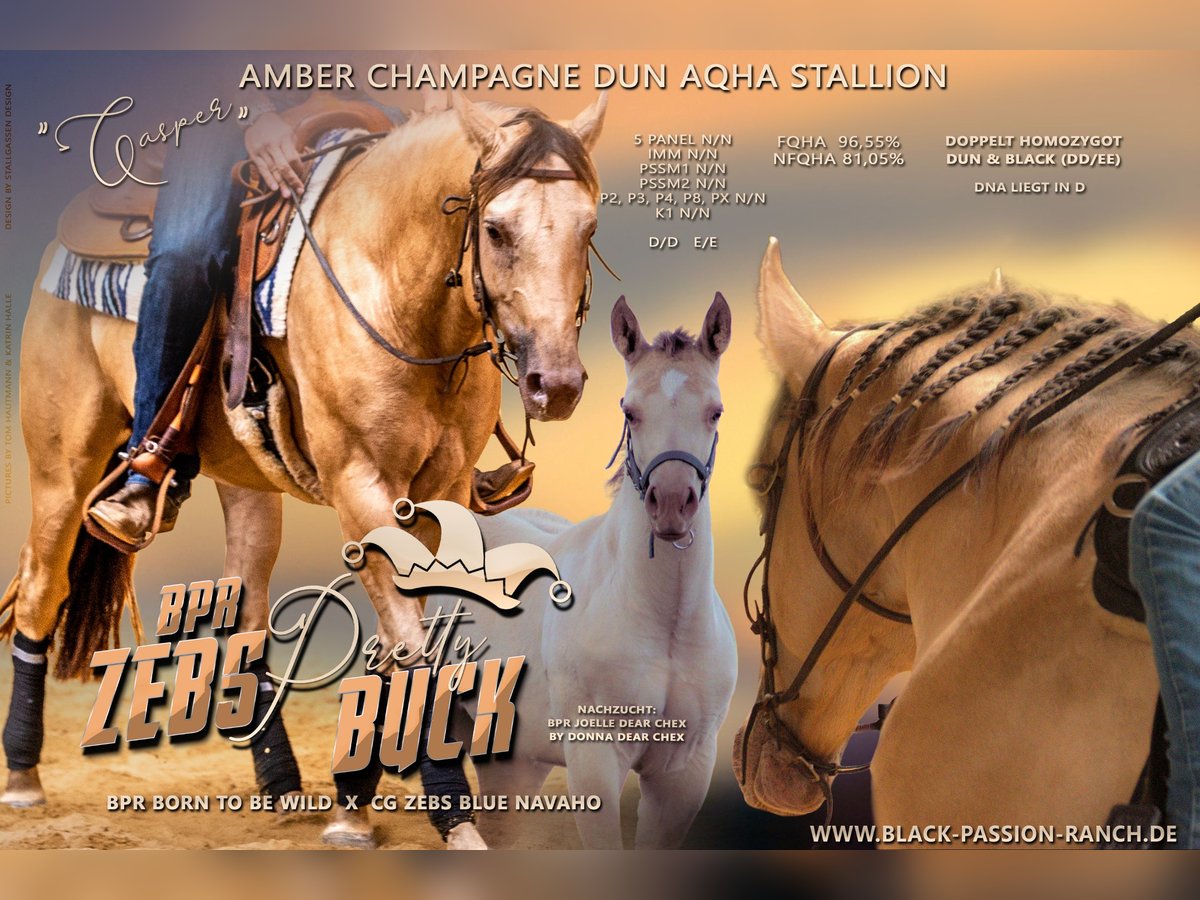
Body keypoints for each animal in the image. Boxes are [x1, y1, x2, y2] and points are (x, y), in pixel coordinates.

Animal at [0, 92, 609, 850]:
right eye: (495, 229)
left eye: (589, 226)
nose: (557, 384)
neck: (393, 287)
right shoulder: (361, 485)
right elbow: (411, 644)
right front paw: (449, 815)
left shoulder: (437, 499)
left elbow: (401, 639)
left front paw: (354, 804)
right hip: (63, 468)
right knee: (39, 589)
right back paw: (23, 777)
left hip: (245, 485)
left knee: (244, 607)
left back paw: (281, 781)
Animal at [425, 294, 737, 848]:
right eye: (630, 410)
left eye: (714, 411)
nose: (671, 505)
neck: (663, 626)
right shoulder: (594, 763)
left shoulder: (685, 771)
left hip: (514, 764)